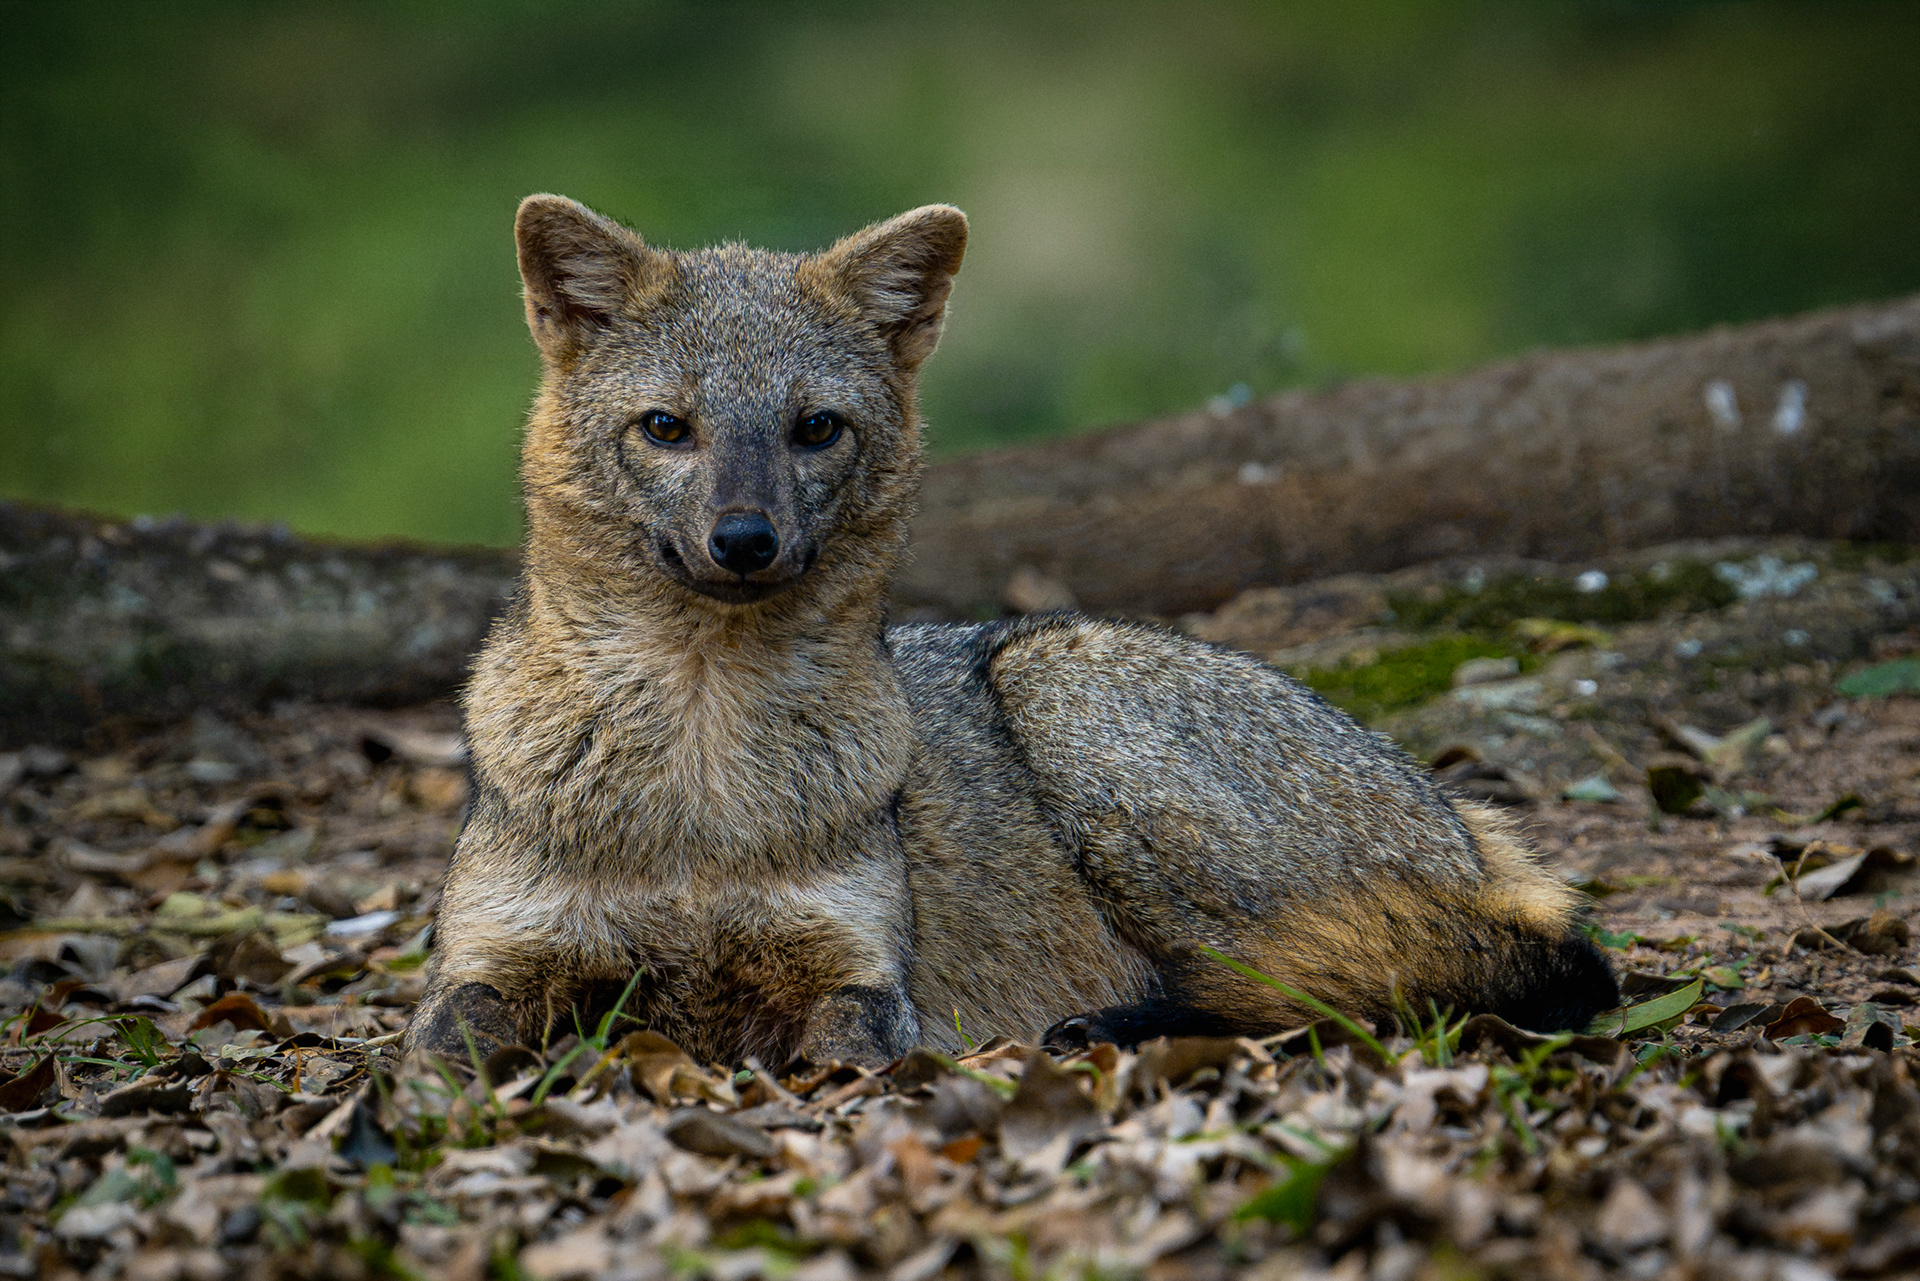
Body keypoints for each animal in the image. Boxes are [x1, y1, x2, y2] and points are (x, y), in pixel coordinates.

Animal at [404, 194, 1619, 1067]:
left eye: (815, 430)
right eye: (667, 429)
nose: (745, 540)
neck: (699, 795)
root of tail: (1460, 819)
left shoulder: (858, 982)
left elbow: (836, 1061)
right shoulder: (491, 965)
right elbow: (445, 1049)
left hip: (1064, 691)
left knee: (1309, 987)